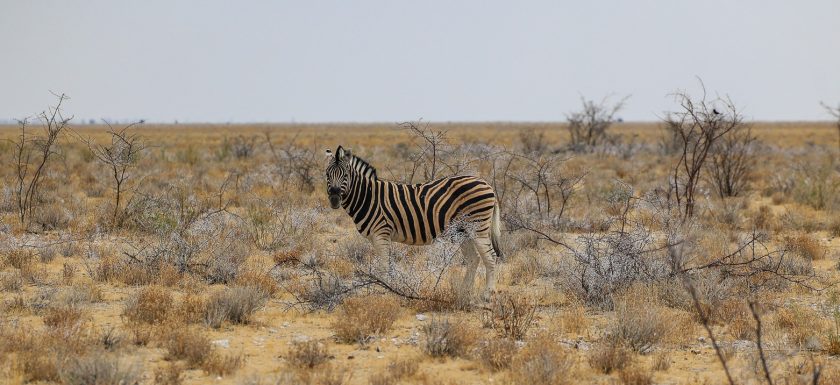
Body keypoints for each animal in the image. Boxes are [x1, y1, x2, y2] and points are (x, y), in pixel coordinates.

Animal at [324, 146, 502, 298]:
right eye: (327, 175)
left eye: (345, 176)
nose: (334, 199)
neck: (367, 196)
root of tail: (486, 183)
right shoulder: (376, 238)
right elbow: (385, 265)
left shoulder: (381, 233)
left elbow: (384, 266)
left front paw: (385, 291)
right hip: (462, 232)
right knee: (474, 259)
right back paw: (463, 292)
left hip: (477, 227)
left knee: (491, 257)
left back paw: (487, 295)